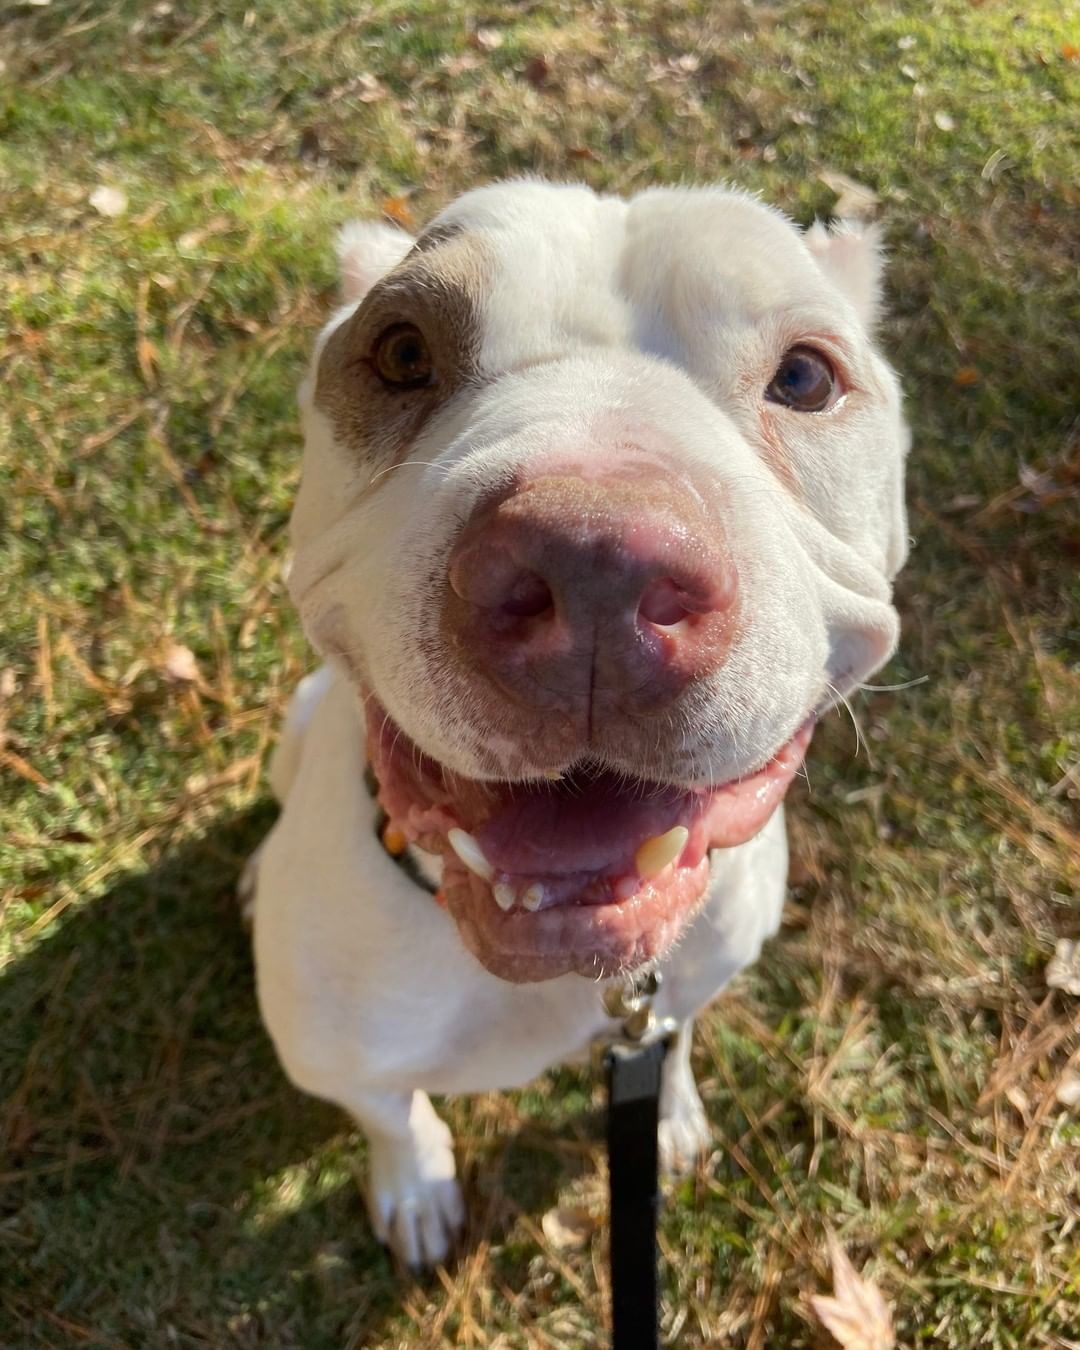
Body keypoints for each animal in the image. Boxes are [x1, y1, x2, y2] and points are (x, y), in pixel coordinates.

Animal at [253, 176, 912, 1263]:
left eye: (806, 377)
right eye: (402, 352)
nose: (597, 562)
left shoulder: (687, 983)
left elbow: (673, 1036)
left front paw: (672, 1117)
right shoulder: (338, 1060)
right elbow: (391, 1113)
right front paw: (416, 1184)